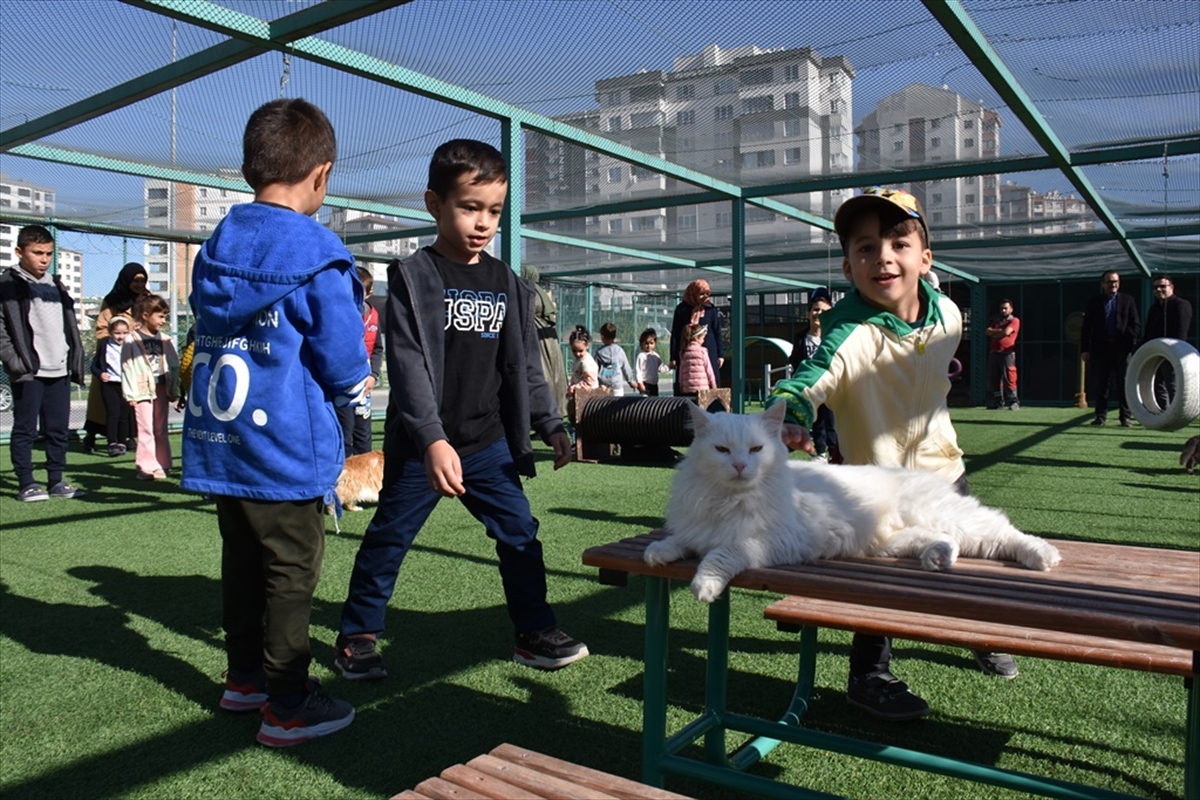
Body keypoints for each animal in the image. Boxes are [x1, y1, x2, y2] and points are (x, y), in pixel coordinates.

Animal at [648, 402, 1060, 604]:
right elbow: (681, 540)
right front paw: (657, 553)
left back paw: (1043, 556)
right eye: (722, 450)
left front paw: (704, 587)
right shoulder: (699, 528)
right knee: (945, 541)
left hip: (954, 519)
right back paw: (937, 559)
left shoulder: (772, 541)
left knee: (1004, 532)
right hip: (893, 544)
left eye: (755, 450)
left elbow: (721, 554)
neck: (727, 499)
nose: (738, 465)